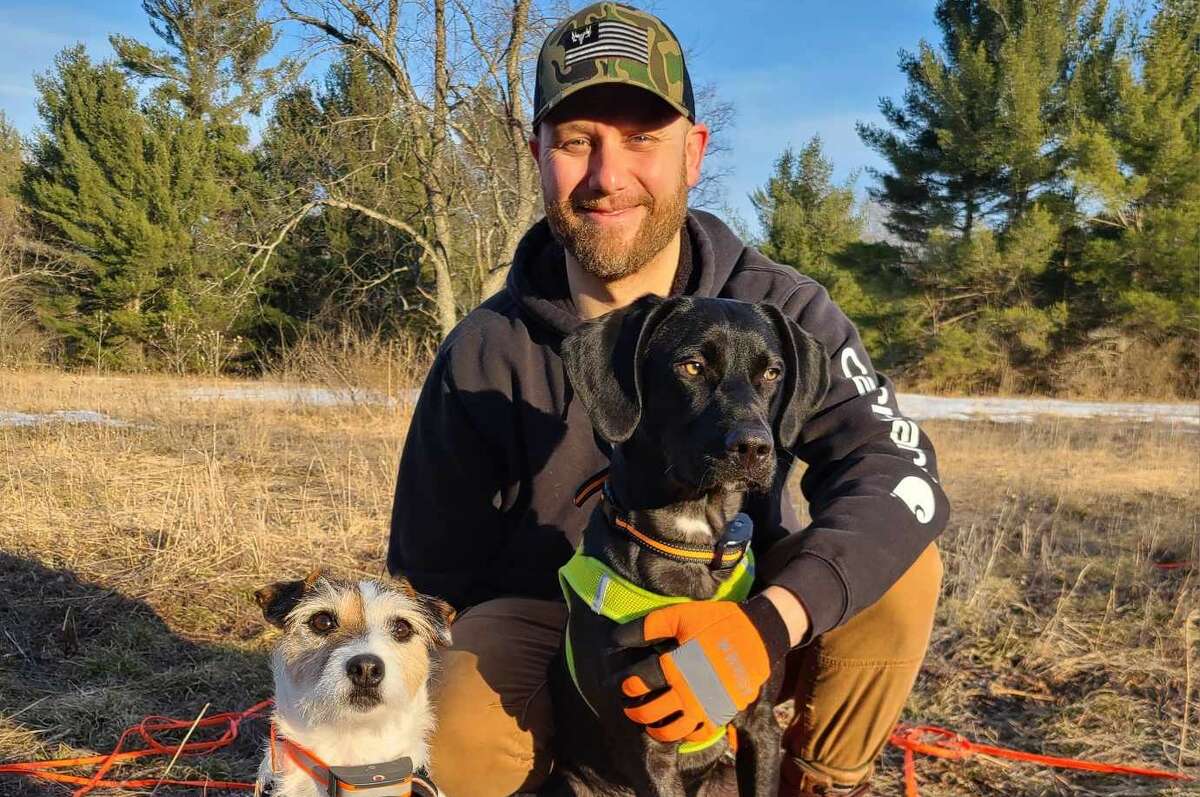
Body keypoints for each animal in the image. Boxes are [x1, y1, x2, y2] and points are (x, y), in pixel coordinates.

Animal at [549, 295, 830, 792]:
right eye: (692, 366)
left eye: (773, 372)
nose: (755, 448)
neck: (691, 541)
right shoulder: (648, 746)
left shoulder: (761, 727)